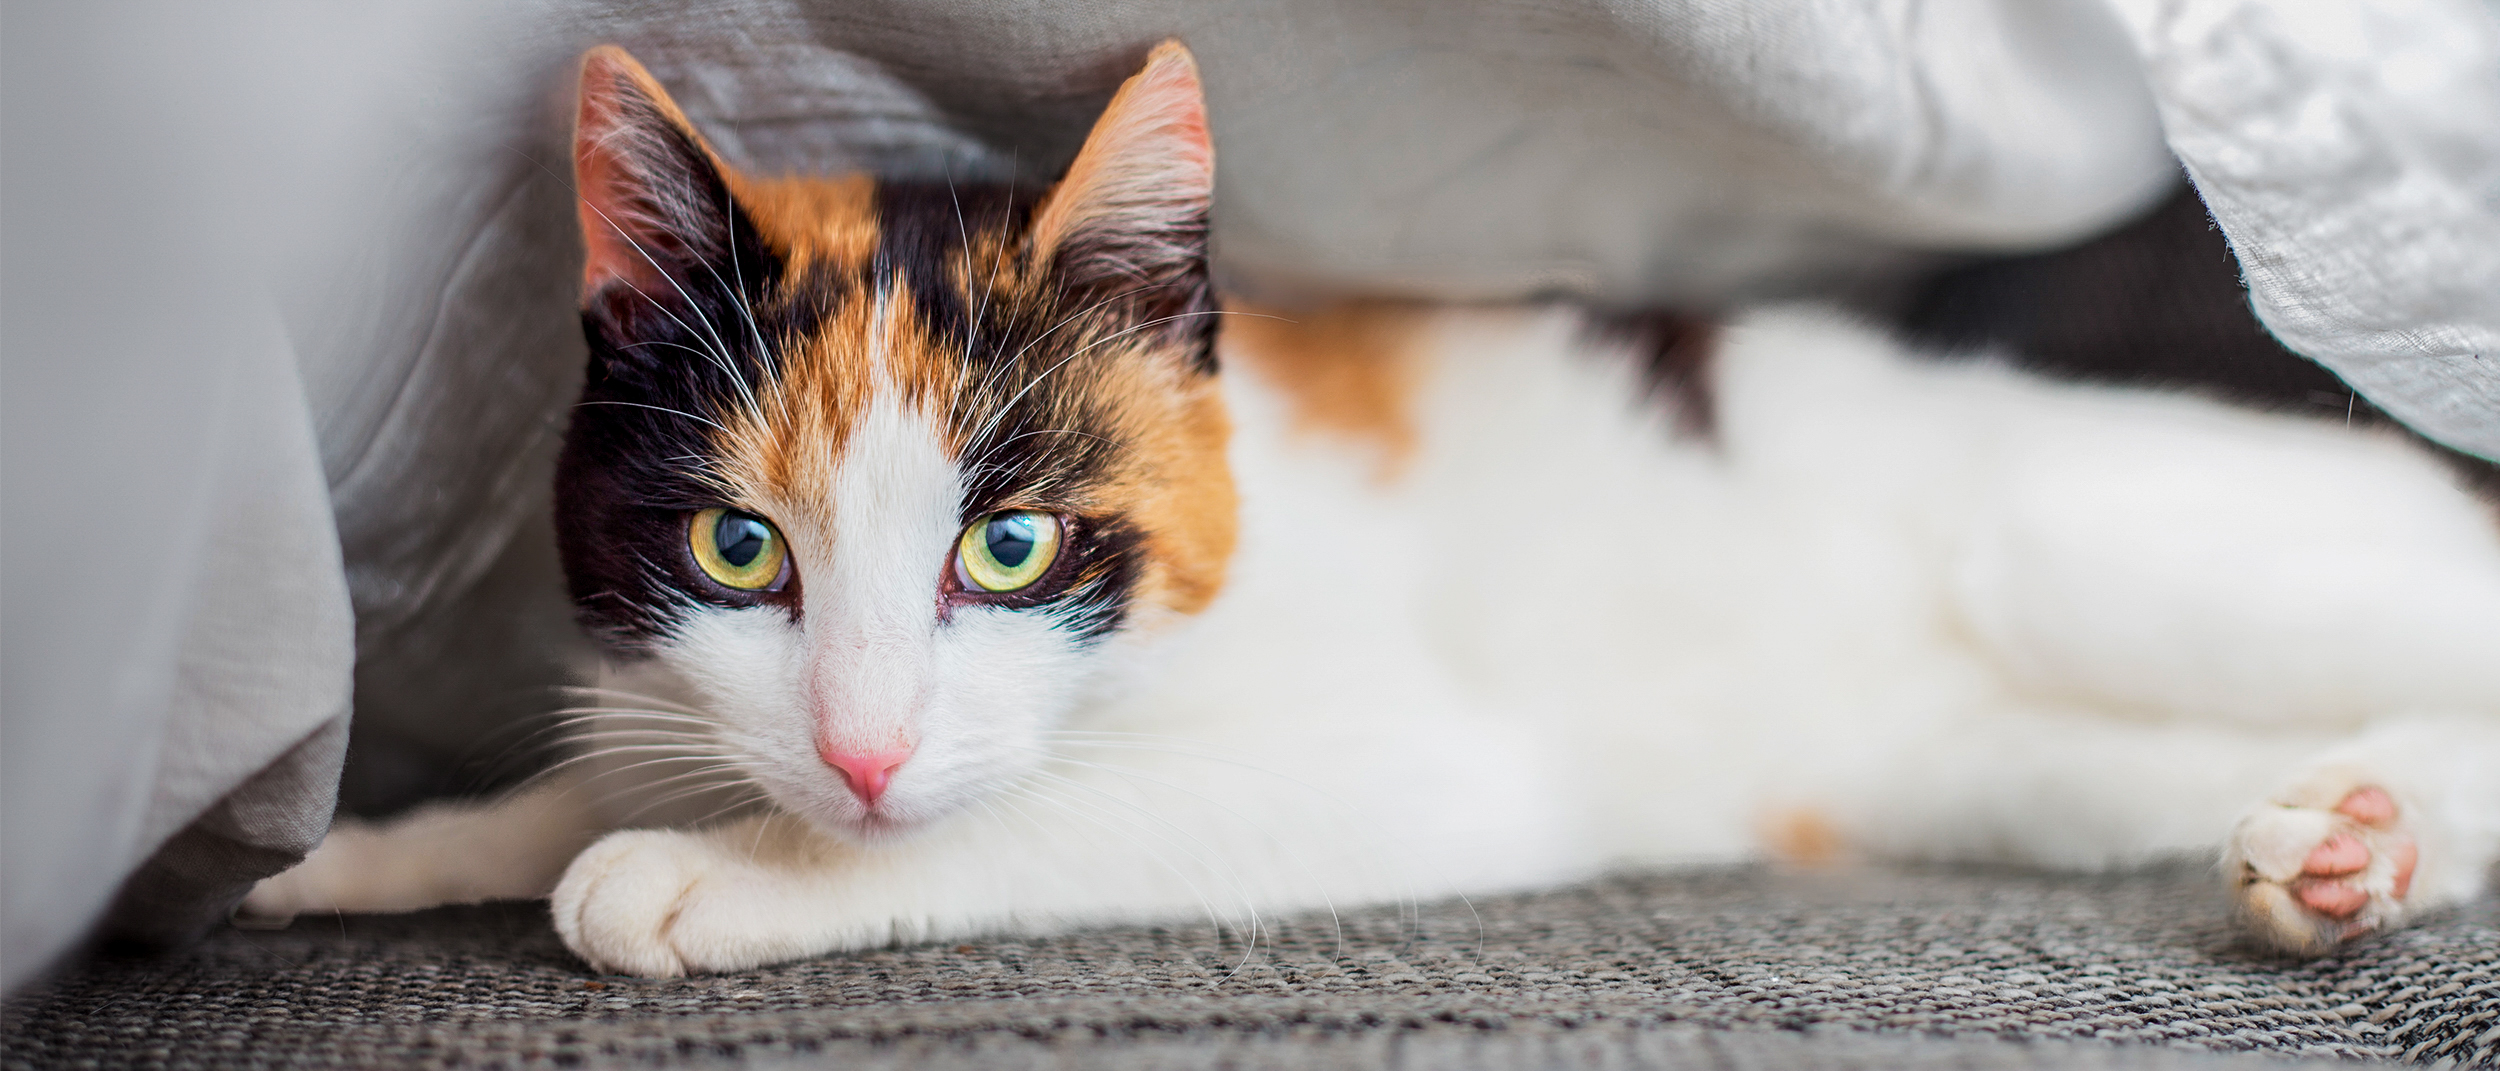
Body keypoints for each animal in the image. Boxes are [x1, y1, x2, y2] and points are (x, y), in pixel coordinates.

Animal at [243, 43, 2500, 980]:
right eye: (739, 549)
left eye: (1011, 546)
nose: (866, 752)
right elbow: (618, 756)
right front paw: (373, 851)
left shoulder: (1428, 767)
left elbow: (1039, 821)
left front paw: (710, 872)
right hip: (2001, 765)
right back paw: (2347, 845)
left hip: (2071, 546)